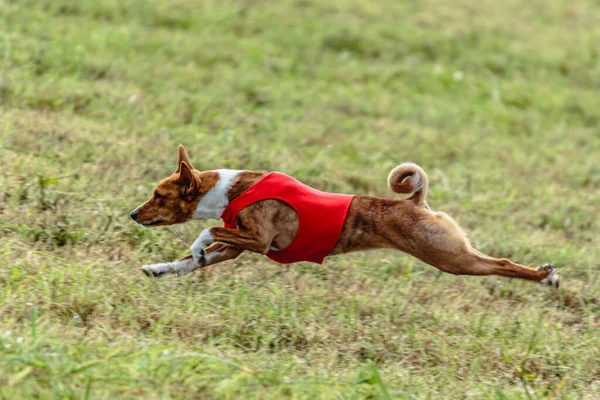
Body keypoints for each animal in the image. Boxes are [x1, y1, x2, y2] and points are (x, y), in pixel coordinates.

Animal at [129, 144, 560, 288]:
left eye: (158, 195)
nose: (133, 214)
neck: (232, 190)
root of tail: (414, 201)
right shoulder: (236, 246)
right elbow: (188, 261)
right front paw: (159, 268)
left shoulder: (258, 240)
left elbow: (207, 232)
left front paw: (196, 247)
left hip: (449, 256)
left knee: (501, 264)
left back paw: (545, 276)